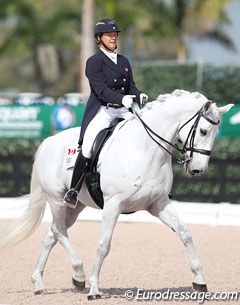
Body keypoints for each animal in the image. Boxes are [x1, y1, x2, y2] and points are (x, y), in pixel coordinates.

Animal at [0, 89, 232, 298]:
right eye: (203, 131)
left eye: (216, 134)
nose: (198, 170)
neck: (144, 148)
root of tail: (49, 141)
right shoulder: (113, 204)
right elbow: (104, 245)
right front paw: (94, 289)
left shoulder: (158, 203)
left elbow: (185, 233)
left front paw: (200, 281)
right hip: (56, 200)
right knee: (59, 232)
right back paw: (79, 274)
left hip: (75, 206)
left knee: (53, 233)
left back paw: (42, 282)